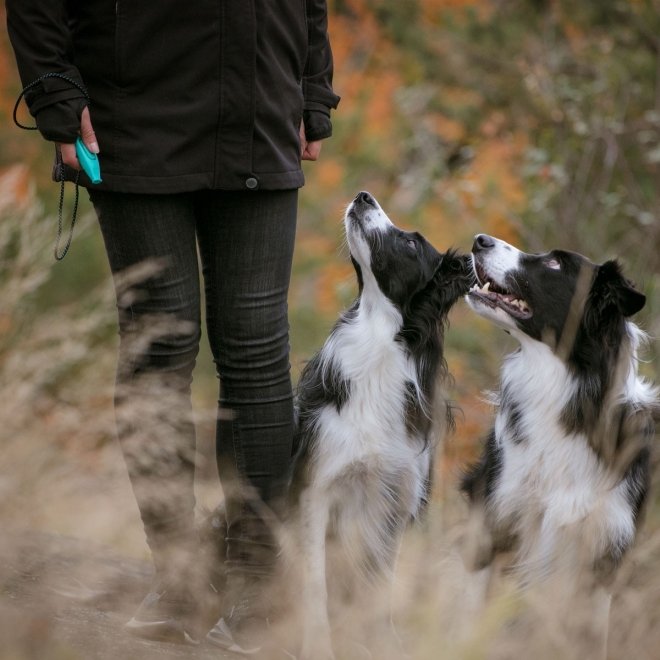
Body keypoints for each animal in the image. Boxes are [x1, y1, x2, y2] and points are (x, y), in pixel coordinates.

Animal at [292, 191, 472, 660]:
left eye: (410, 244)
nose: (363, 195)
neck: (377, 337)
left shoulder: (395, 502)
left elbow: (379, 587)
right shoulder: (316, 490)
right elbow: (314, 585)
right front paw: (318, 646)